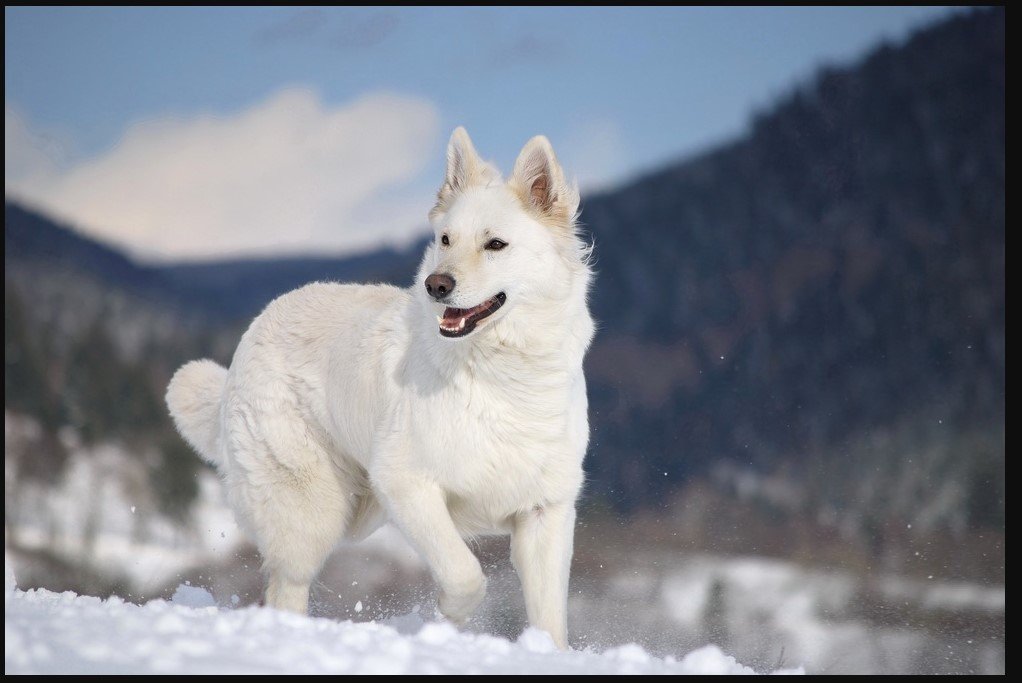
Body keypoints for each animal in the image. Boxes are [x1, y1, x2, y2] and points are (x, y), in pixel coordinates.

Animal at [164, 126, 596, 646]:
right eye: (445, 239)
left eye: (495, 244)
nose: (436, 285)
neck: (501, 373)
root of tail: (253, 332)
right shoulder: (407, 483)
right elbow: (465, 573)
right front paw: (446, 617)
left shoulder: (545, 512)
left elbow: (550, 617)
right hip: (313, 511)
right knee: (286, 584)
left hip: (357, 511)